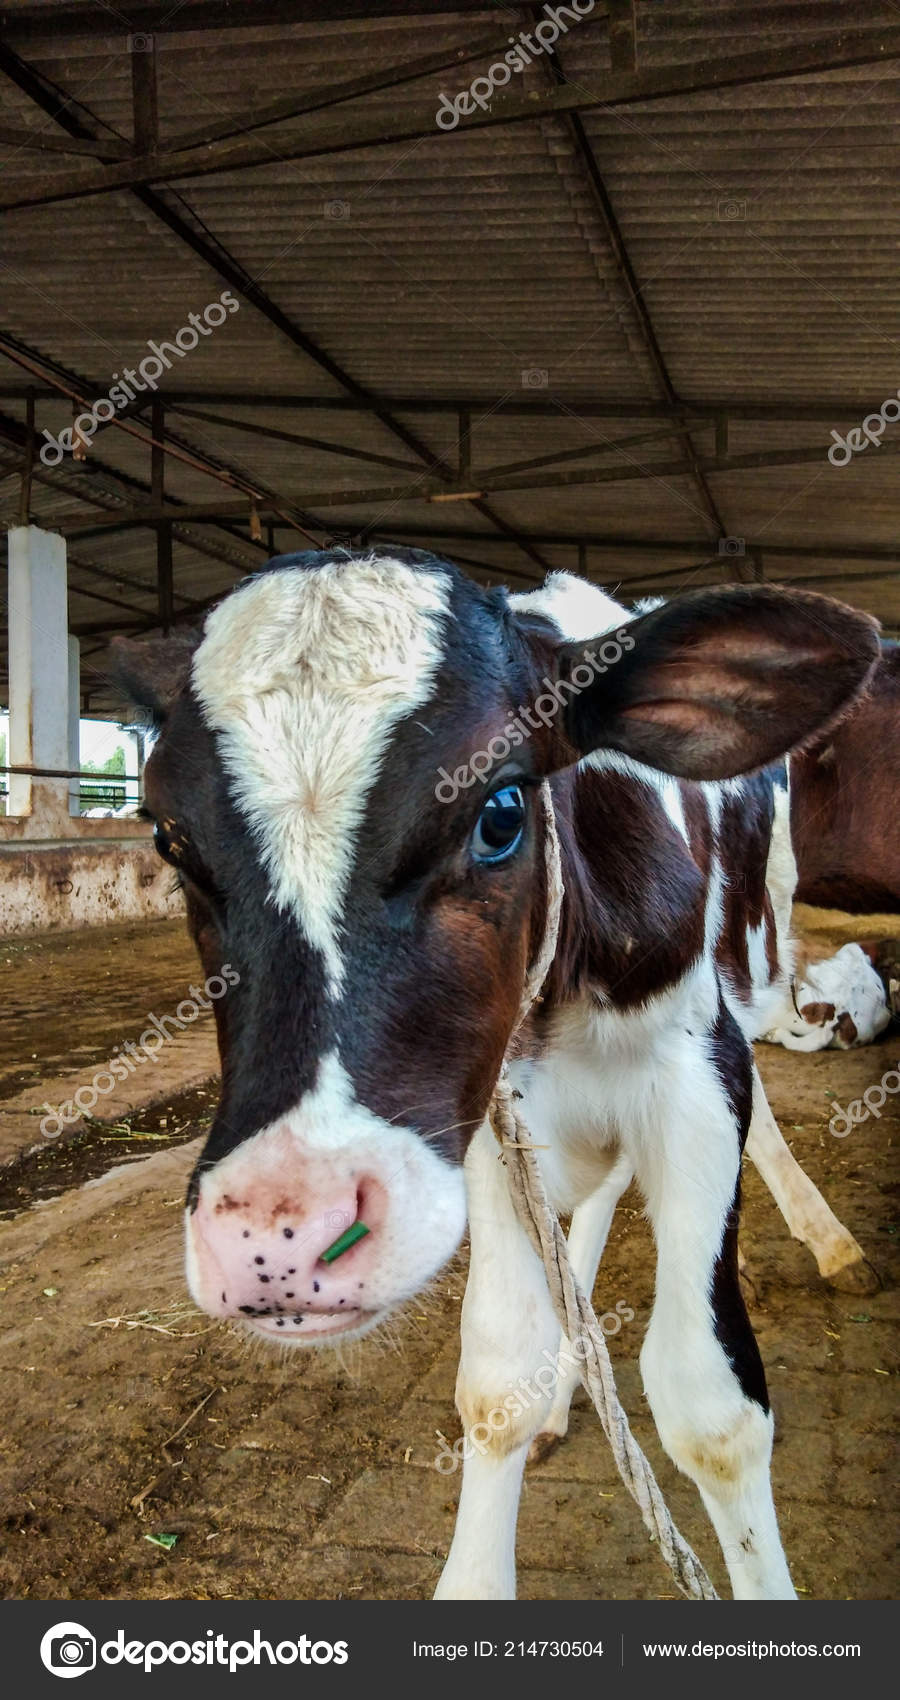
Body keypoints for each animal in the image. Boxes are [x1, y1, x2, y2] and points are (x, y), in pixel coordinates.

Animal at [115, 549, 880, 1602]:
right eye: (168, 838)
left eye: (502, 811)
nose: (276, 1241)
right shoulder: (476, 1117)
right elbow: (495, 1383)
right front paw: (533, 1407)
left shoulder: (692, 1073)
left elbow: (711, 1412)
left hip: (760, 959)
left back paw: (826, 1236)